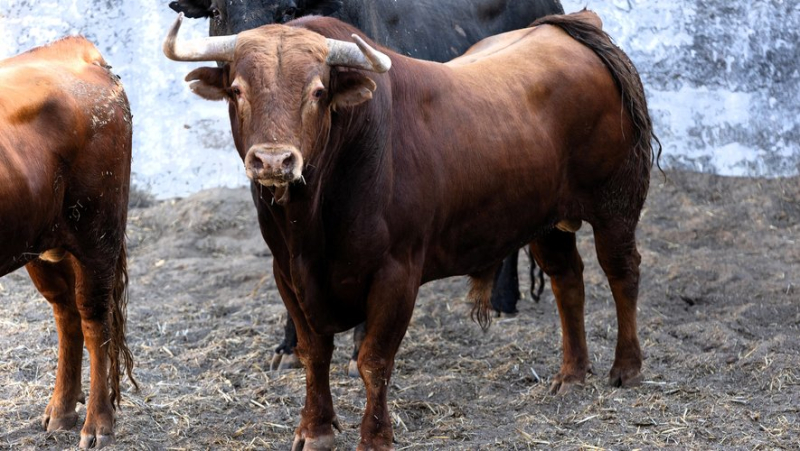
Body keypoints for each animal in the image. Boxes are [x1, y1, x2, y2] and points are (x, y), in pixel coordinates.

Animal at [0, 37, 136, 450]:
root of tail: (75, 48)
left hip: (98, 234)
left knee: (94, 319)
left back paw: (98, 422)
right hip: (40, 244)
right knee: (66, 313)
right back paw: (62, 409)